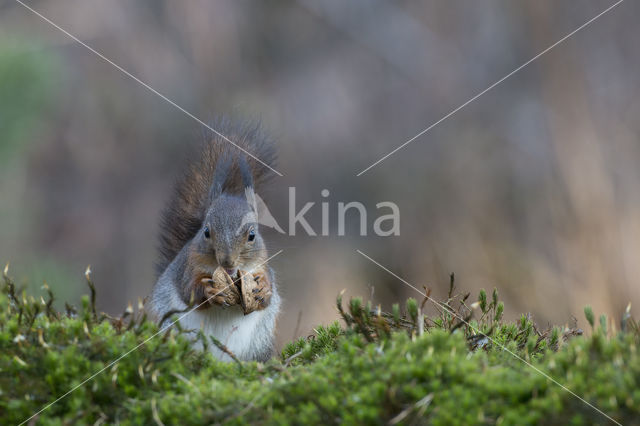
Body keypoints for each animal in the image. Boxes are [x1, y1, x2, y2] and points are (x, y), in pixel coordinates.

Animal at [150, 118, 282, 362]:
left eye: (252, 235)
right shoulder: (188, 267)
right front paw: (210, 292)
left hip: (259, 342)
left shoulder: (262, 264)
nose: (227, 261)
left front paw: (263, 289)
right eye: (206, 232)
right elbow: (188, 292)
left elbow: (267, 293)